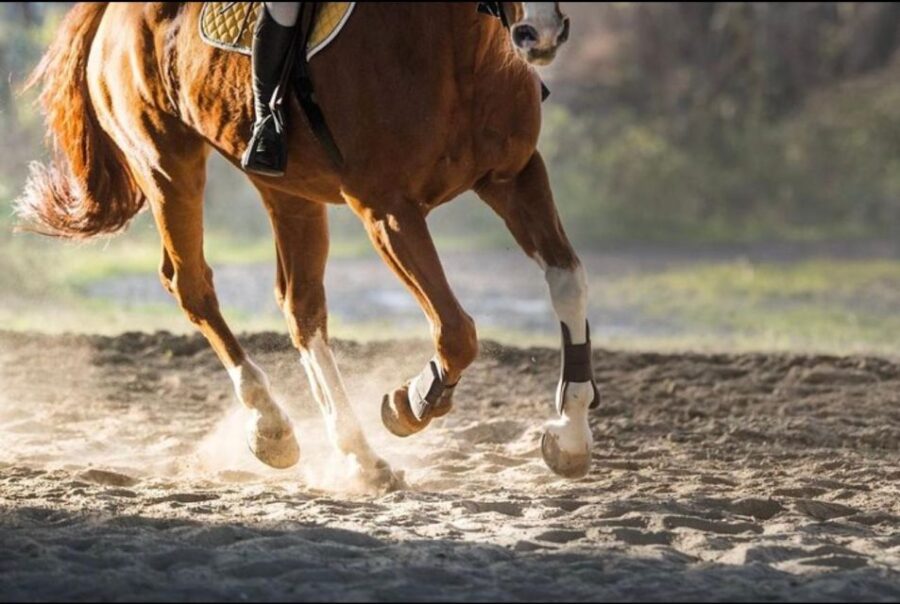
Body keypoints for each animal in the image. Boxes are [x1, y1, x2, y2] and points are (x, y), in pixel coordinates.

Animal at [17, 2, 597, 490]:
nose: (540, 34)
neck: (459, 47)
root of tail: (113, 12)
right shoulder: (387, 210)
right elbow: (456, 332)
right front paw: (410, 402)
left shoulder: (514, 177)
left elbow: (568, 282)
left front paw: (569, 437)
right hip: (166, 165)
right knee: (192, 286)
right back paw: (272, 426)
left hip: (285, 190)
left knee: (301, 308)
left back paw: (357, 455)